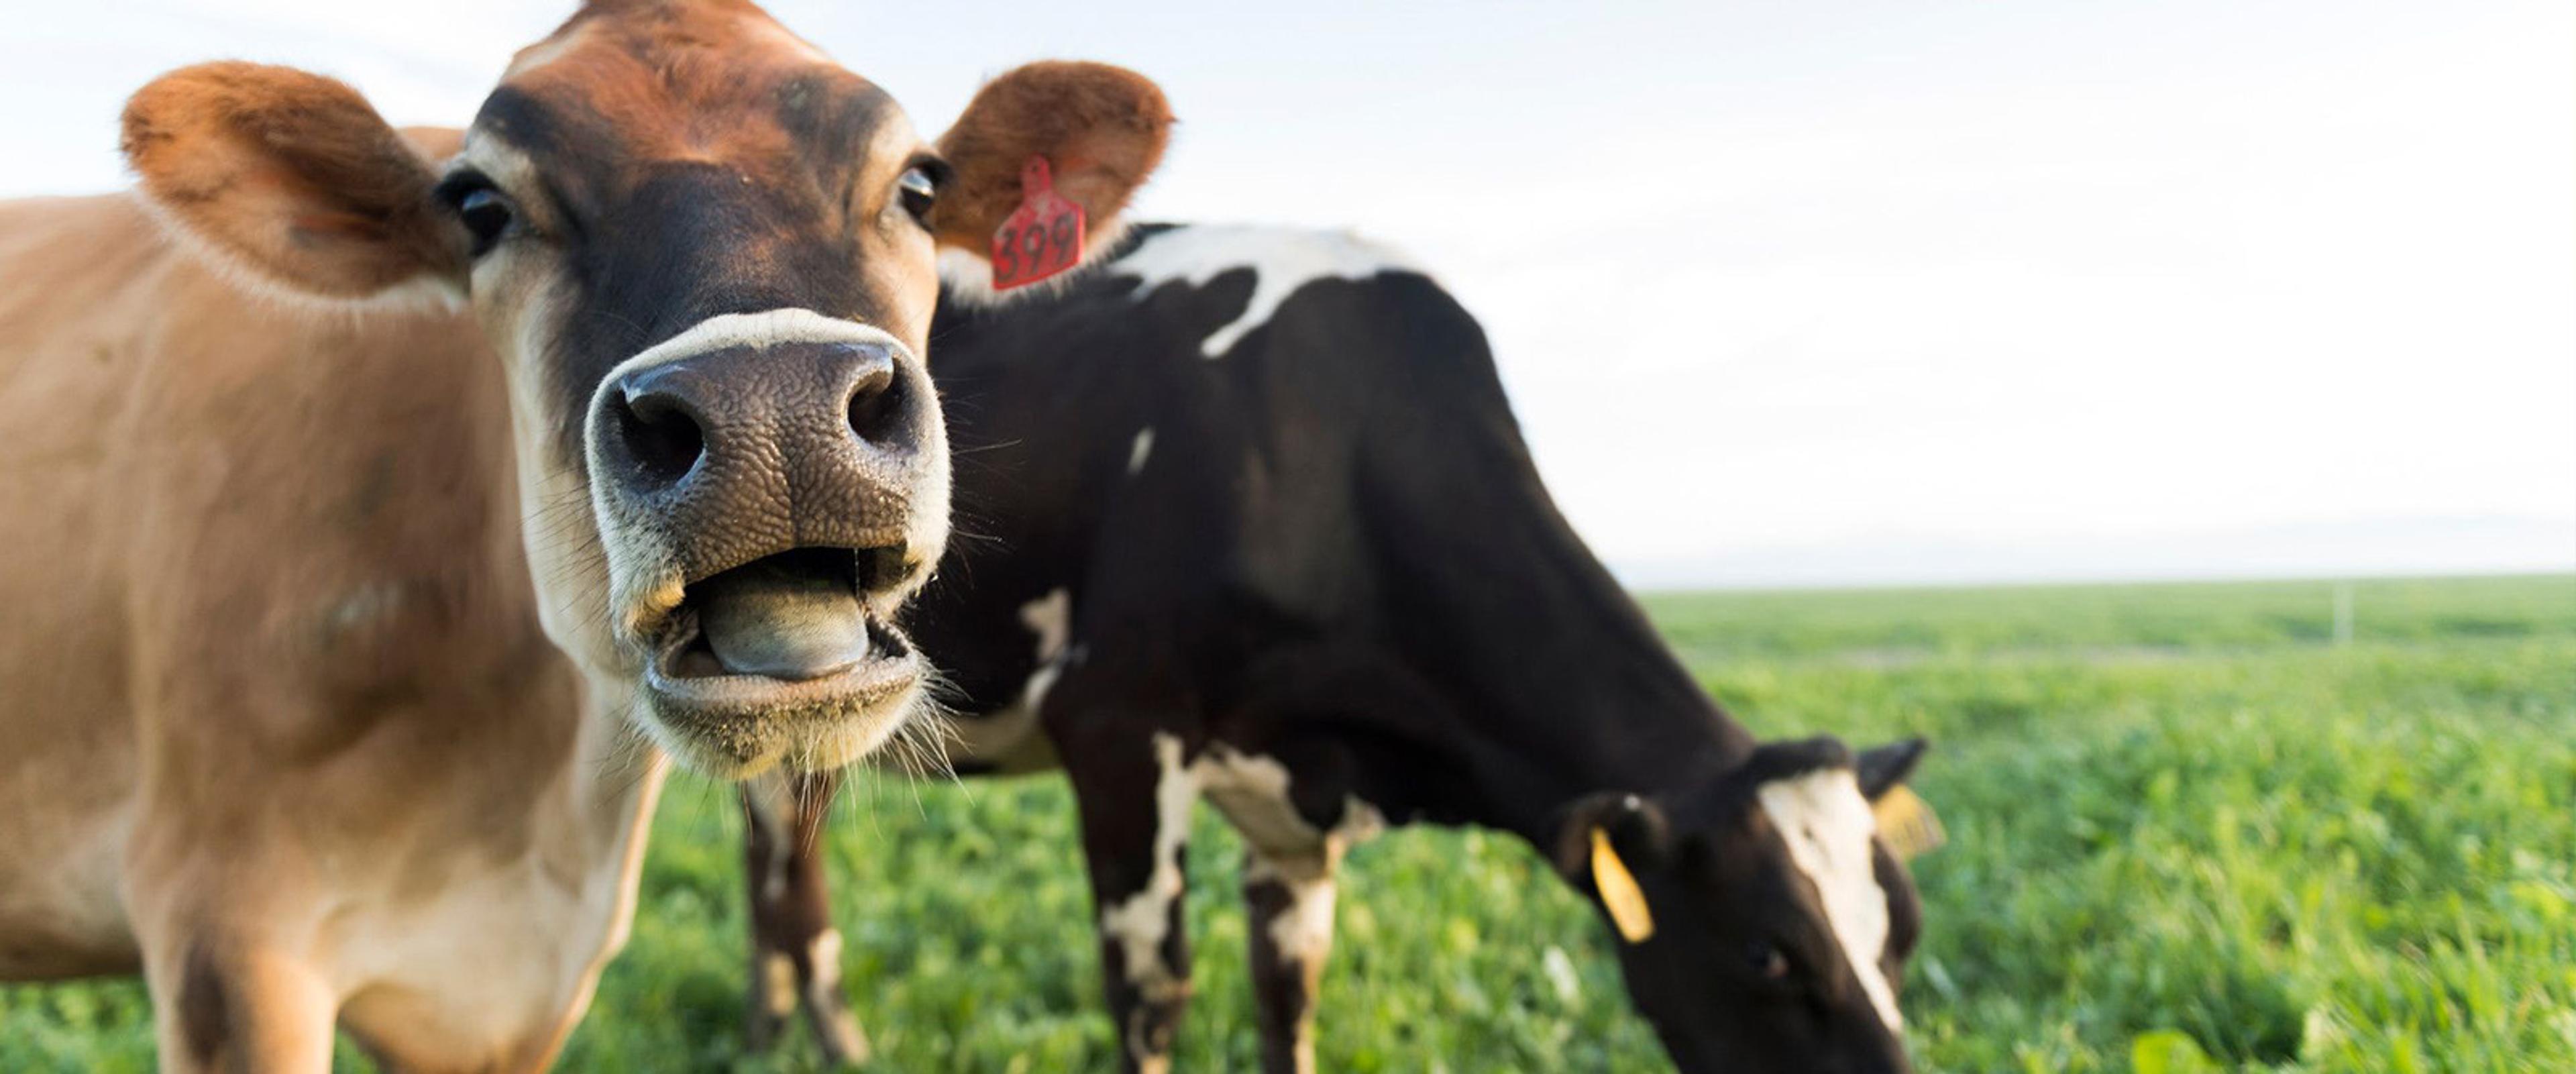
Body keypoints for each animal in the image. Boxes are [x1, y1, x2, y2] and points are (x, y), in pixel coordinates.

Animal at [737, 221, 1927, 1066]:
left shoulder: (1299, 799)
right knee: (793, 877)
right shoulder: (1119, 727)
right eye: (1770, 953)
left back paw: (773, 1030)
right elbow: (1152, 995)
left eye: (1904, 932)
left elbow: (1287, 995)